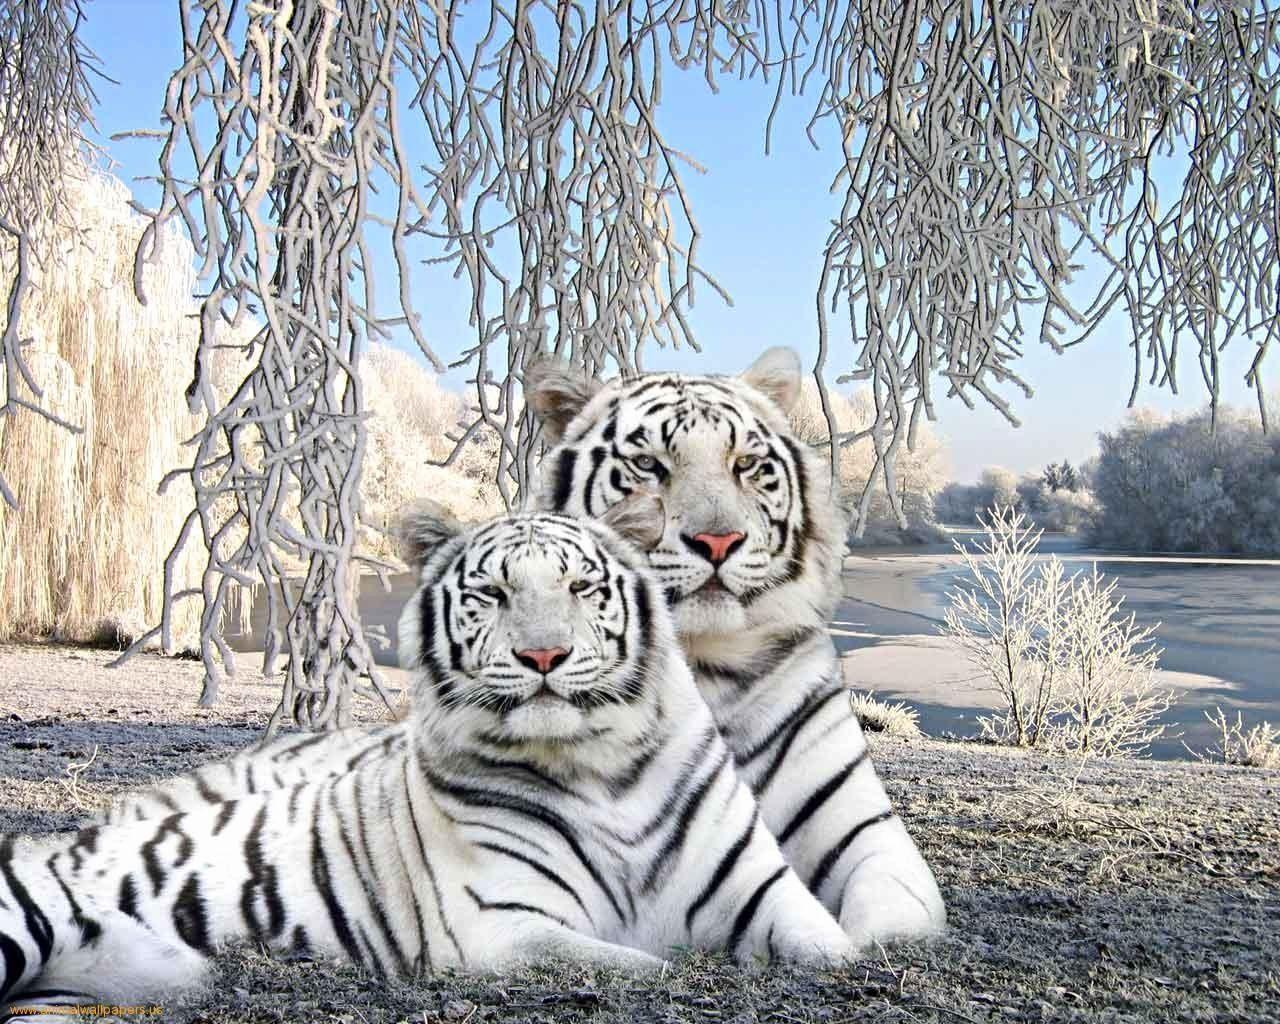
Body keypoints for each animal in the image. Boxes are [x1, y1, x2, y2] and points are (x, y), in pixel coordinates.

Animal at [1, 500, 855, 1016]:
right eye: (492, 595)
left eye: (582, 587)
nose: (543, 656)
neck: (602, 768)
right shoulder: (503, 927)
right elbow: (649, 961)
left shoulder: (762, 891)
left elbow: (833, 948)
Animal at [523, 345, 947, 948]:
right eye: (648, 465)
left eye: (744, 464)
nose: (718, 541)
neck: (706, 661)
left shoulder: (860, 823)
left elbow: (892, 911)